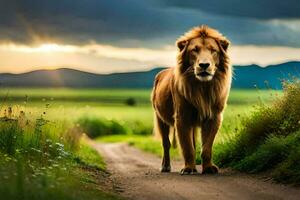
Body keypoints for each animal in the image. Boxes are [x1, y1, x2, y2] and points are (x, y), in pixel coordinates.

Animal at [152, 25, 232, 174]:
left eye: (213, 51)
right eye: (194, 50)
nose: (204, 65)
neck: (202, 87)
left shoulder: (214, 117)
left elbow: (206, 147)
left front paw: (208, 168)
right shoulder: (182, 117)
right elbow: (187, 147)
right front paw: (188, 169)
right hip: (160, 118)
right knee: (166, 143)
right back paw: (165, 166)